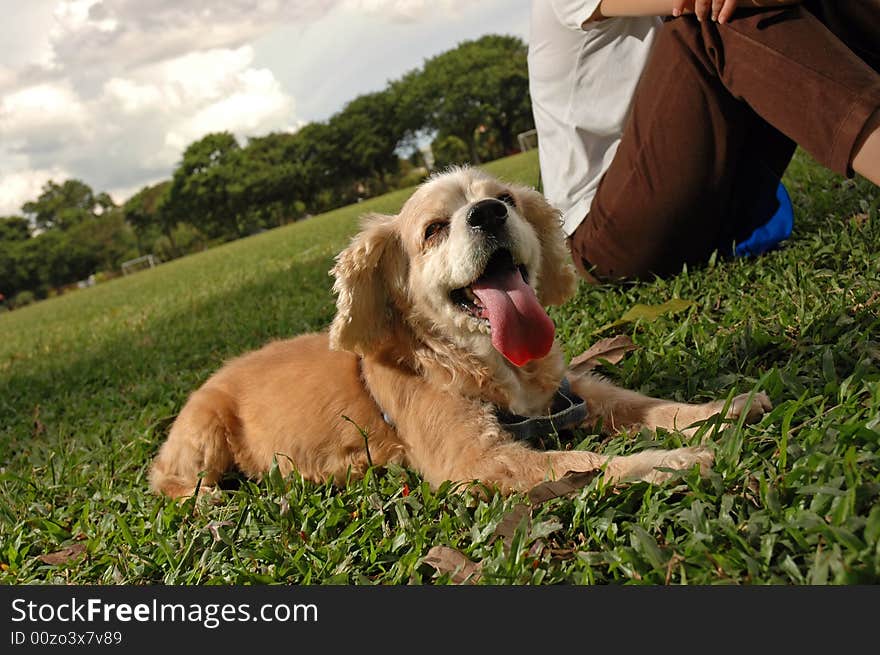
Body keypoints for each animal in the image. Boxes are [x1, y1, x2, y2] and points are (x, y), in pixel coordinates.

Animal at [151, 168, 768, 498]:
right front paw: (673, 462)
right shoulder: (476, 461)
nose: (489, 213)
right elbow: (586, 464)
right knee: (170, 481)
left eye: (507, 198)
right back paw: (213, 504)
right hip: (203, 434)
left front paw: (723, 409)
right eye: (433, 230)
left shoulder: (570, 393)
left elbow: (644, 403)